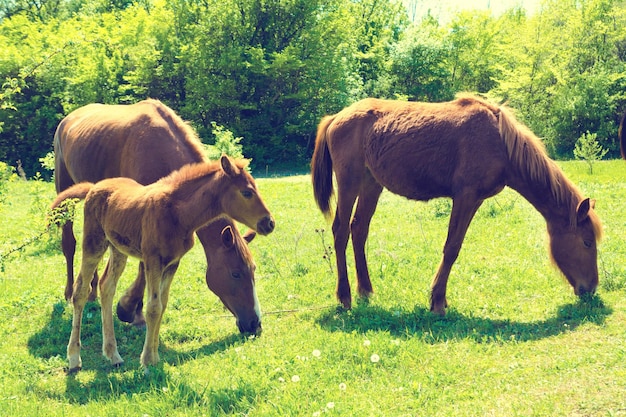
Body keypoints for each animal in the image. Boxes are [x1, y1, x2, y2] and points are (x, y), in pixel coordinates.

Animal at [51, 157, 276, 370]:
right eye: (247, 192)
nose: (269, 223)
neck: (178, 214)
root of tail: (93, 187)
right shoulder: (153, 260)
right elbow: (153, 307)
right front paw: (147, 362)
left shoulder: (172, 263)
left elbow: (162, 305)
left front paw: (154, 357)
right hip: (94, 243)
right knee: (80, 290)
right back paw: (74, 358)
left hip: (118, 249)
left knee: (107, 286)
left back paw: (113, 355)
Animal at [52, 99, 260, 334]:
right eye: (235, 273)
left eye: (253, 270)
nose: (255, 323)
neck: (159, 151)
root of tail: (68, 119)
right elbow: (144, 266)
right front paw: (128, 309)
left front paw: (133, 310)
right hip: (65, 194)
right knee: (69, 244)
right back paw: (71, 292)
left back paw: (92, 290)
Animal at [310, 96, 600, 312]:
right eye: (587, 242)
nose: (591, 288)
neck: (500, 143)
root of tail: (336, 117)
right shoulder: (465, 197)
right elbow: (451, 248)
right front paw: (437, 301)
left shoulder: (474, 200)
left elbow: (454, 247)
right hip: (350, 182)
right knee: (340, 231)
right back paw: (345, 297)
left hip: (371, 184)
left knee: (359, 230)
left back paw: (366, 290)